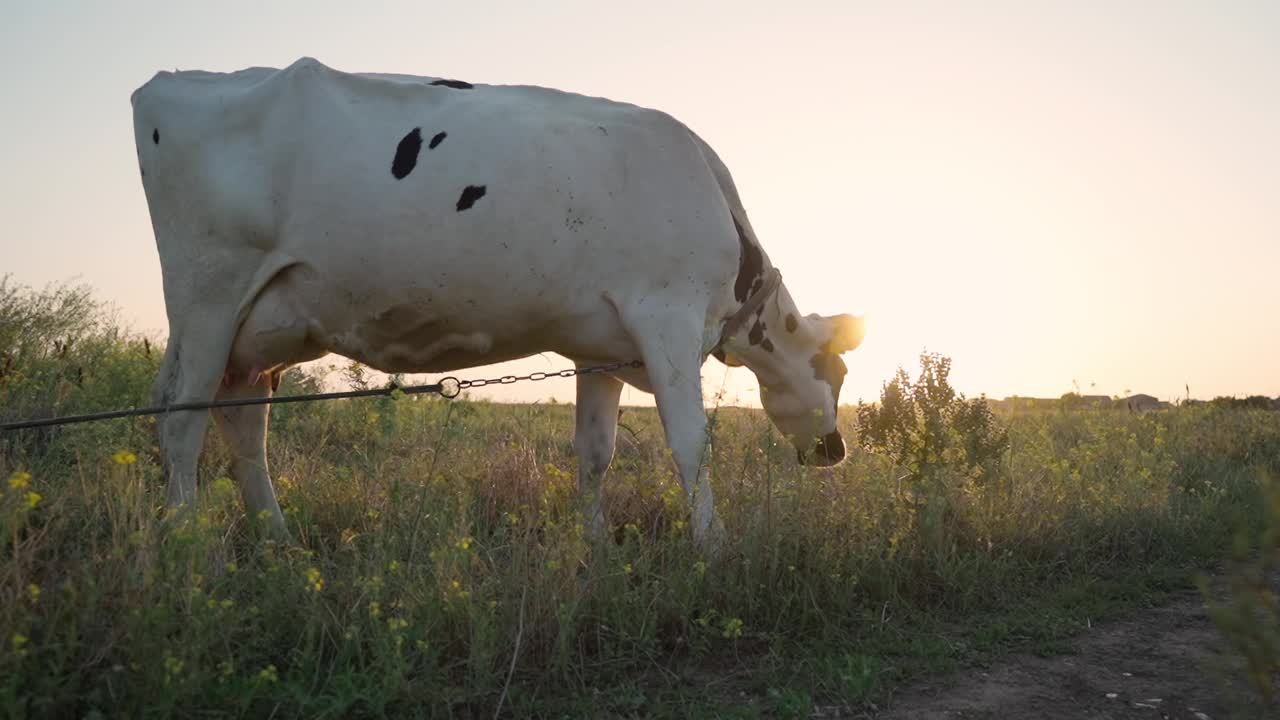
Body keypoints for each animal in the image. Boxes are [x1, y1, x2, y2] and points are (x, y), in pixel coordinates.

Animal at [129, 58, 865, 545]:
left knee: (243, 422)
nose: (836, 451)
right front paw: (713, 548)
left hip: (259, 327)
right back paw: (190, 545)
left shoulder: (600, 347)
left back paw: (277, 543)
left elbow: (595, 452)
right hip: (208, 296)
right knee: (182, 422)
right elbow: (691, 443)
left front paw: (593, 548)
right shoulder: (668, 319)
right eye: (838, 370)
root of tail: (170, 79)